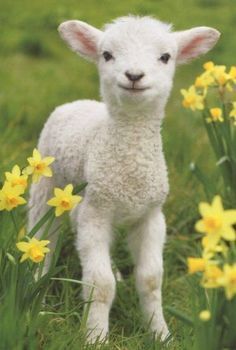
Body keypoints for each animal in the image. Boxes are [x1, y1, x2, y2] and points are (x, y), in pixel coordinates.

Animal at [28, 15, 220, 342]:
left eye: (165, 57)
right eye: (107, 55)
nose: (134, 75)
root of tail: (78, 102)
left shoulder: (152, 216)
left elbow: (151, 280)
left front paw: (161, 334)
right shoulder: (97, 214)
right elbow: (100, 284)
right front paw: (96, 337)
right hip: (47, 186)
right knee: (43, 236)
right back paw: (35, 291)